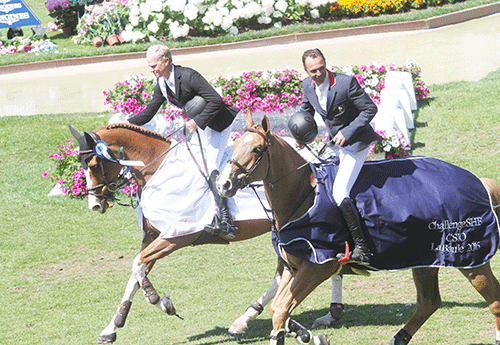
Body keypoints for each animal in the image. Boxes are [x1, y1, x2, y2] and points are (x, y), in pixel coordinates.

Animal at [217, 113, 500, 344]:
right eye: (235, 145)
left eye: (256, 148)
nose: (223, 184)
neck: (303, 196)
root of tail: (478, 181)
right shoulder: (292, 266)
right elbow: (279, 308)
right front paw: (307, 334)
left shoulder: (319, 266)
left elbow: (281, 311)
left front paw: (308, 334)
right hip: (426, 259)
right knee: (428, 302)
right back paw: (397, 339)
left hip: (470, 260)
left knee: (494, 300)